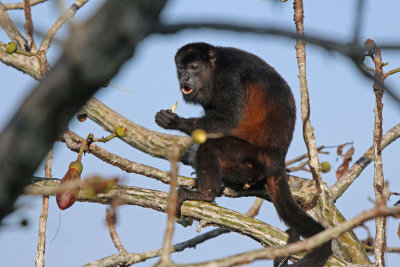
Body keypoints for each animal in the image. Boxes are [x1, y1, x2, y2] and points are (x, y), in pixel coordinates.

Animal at [155, 43, 332, 266]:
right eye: (181, 68)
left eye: (194, 67)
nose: (184, 78)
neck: (214, 68)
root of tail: (278, 161)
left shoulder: (229, 78)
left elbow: (227, 121)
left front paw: (175, 121)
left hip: (251, 162)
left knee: (212, 145)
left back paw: (206, 193)